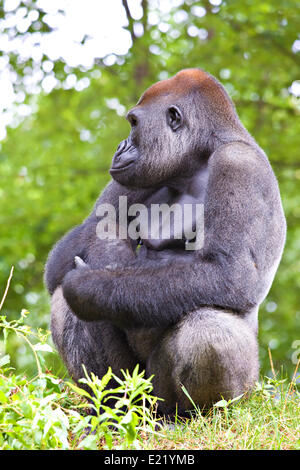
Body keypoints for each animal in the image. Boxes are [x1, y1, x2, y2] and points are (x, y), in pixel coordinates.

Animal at [44, 68, 286, 414]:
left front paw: (88, 283)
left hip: (220, 392)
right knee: (66, 301)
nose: (119, 147)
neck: (199, 157)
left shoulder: (238, 163)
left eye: (133, 123)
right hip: (136, 388)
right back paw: (111, 407)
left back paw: (195, 413)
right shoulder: (140, 176)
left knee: (209, 329)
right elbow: (61, 262)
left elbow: (229, 273)